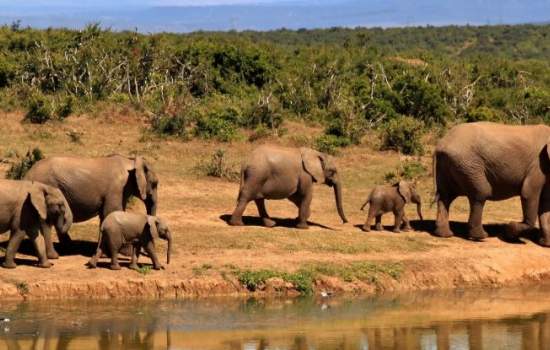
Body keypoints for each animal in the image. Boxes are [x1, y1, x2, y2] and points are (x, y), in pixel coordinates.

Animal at [25, 154, 160, 258]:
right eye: (155, 183)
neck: (131, 161)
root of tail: (28, 174)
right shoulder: (116, 189)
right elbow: (112, 212)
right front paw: (124, 253)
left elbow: (106, 216)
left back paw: (69, 247)